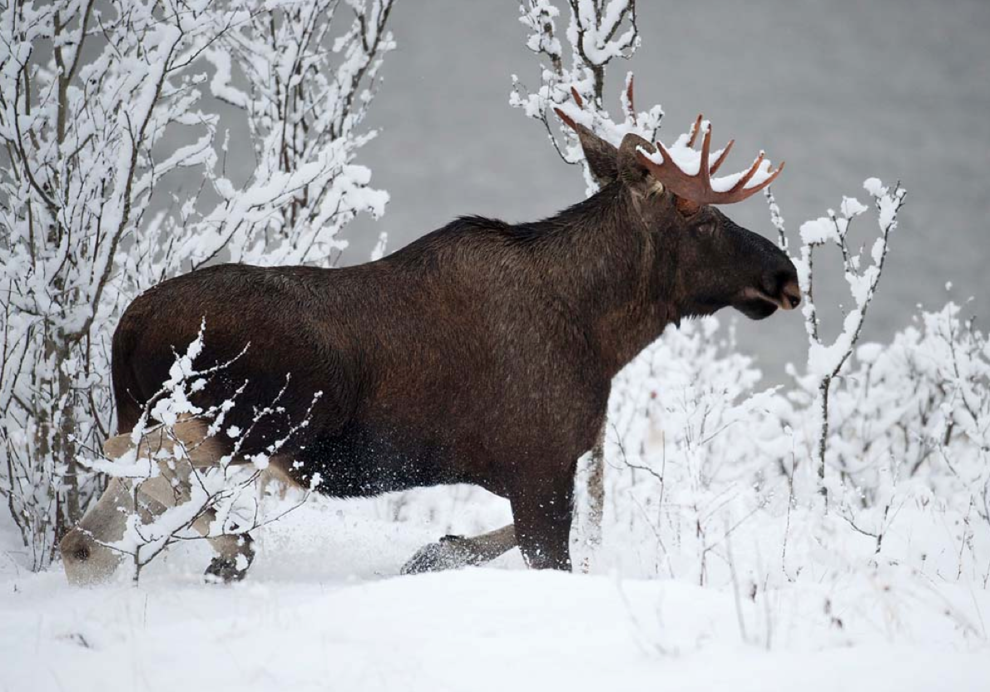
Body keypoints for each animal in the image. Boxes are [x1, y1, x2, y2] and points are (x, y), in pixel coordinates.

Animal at [58, 107, 804, 584]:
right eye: (699, 215)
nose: (785, 275)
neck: (601, 335)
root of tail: (127, 327)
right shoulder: (543, 462)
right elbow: (545, 556)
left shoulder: (533, 472)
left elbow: (492, 540)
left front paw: (432, 552)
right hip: (246, 418)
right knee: (142, 475)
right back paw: (230, 548)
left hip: (171, 412)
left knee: (96, 514)